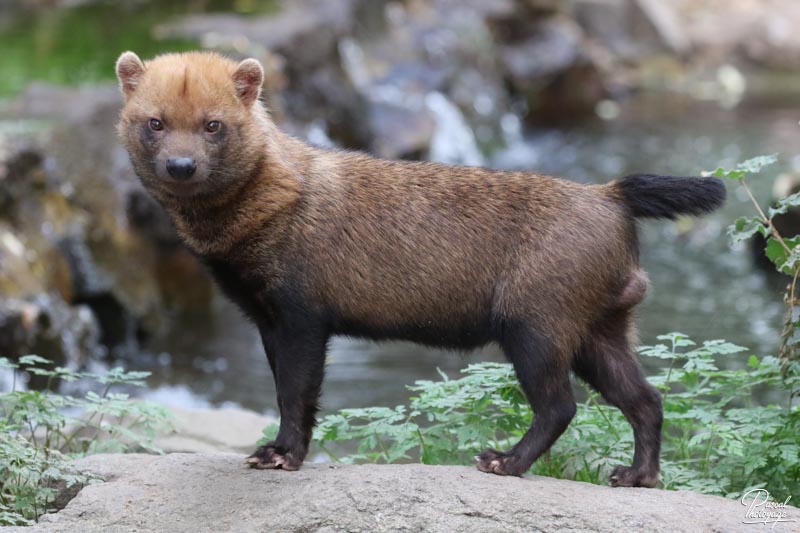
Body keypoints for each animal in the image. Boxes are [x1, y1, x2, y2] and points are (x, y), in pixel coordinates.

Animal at [117, 51, 724, 486]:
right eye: (155, 121)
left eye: (214, 124)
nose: (181, 164)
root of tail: (609, 193)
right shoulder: (264, 317)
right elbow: (287, 390)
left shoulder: (300, 314)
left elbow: (297, 393)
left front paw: (279, 454)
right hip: (601, 326)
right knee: (646, 399)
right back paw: (636, 475)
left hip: (537, 322)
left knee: (560, 406)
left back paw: (503, 460)